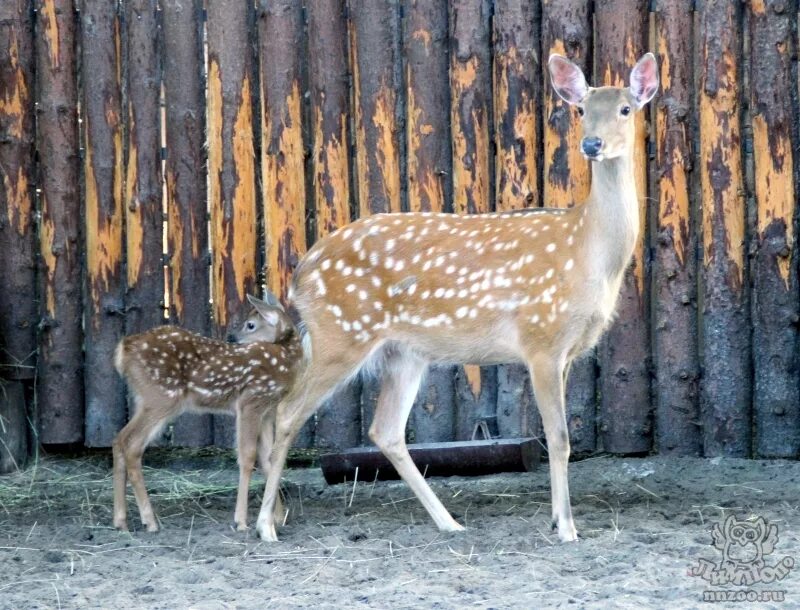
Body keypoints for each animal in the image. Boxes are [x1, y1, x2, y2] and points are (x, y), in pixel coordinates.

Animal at [111, 292, 300, 528]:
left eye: (250, 324)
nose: (232, 339)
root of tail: (124, 350)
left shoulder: (266, 413)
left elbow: (268, 460)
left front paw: (276, 518)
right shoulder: (250, 401)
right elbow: (247, 457)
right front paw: (241, 521)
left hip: (144, 398)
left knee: (119, 440)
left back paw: (121, 521)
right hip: (161, 397)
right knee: (132, 445)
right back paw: (149, 521)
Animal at [255, 51, 656, 536]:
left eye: (626, 108)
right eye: (581, 110)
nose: (592, 144)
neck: (587, 252)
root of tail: (299, 275)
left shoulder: (565, 351)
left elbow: (560, 438)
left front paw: (556, 518)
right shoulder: (540, 338)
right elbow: (558, 439)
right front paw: (566, 529)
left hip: (403, 352)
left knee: (384, 430)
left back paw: (448, 522)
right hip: (341, 335)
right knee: (286, 413)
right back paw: (265, 525)